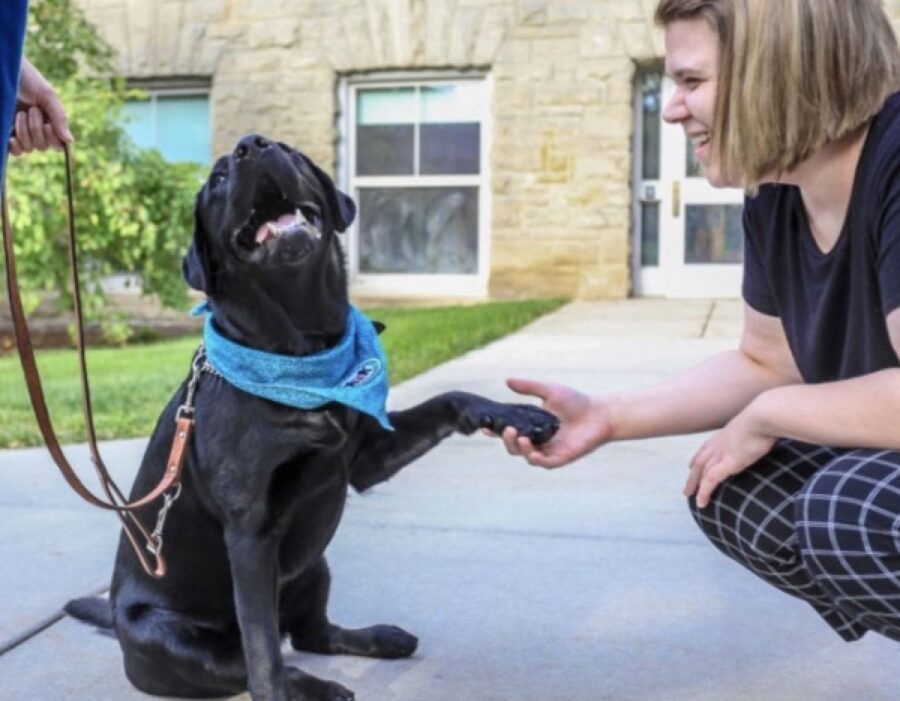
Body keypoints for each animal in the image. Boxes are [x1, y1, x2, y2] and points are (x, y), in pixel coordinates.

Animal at [67, 134, 556, 696]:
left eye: (288, 150)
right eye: (217, 179)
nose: (251, 145)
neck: (301, 353)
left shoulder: (363, 459)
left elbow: (447, 400)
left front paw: (517, 414)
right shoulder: (250, 532)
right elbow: (260, 649)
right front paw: (277, 689)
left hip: (314, 564)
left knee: (311, 634)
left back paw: (377, 638)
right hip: (172, 633)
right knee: (256, 654)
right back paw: (315, 686)